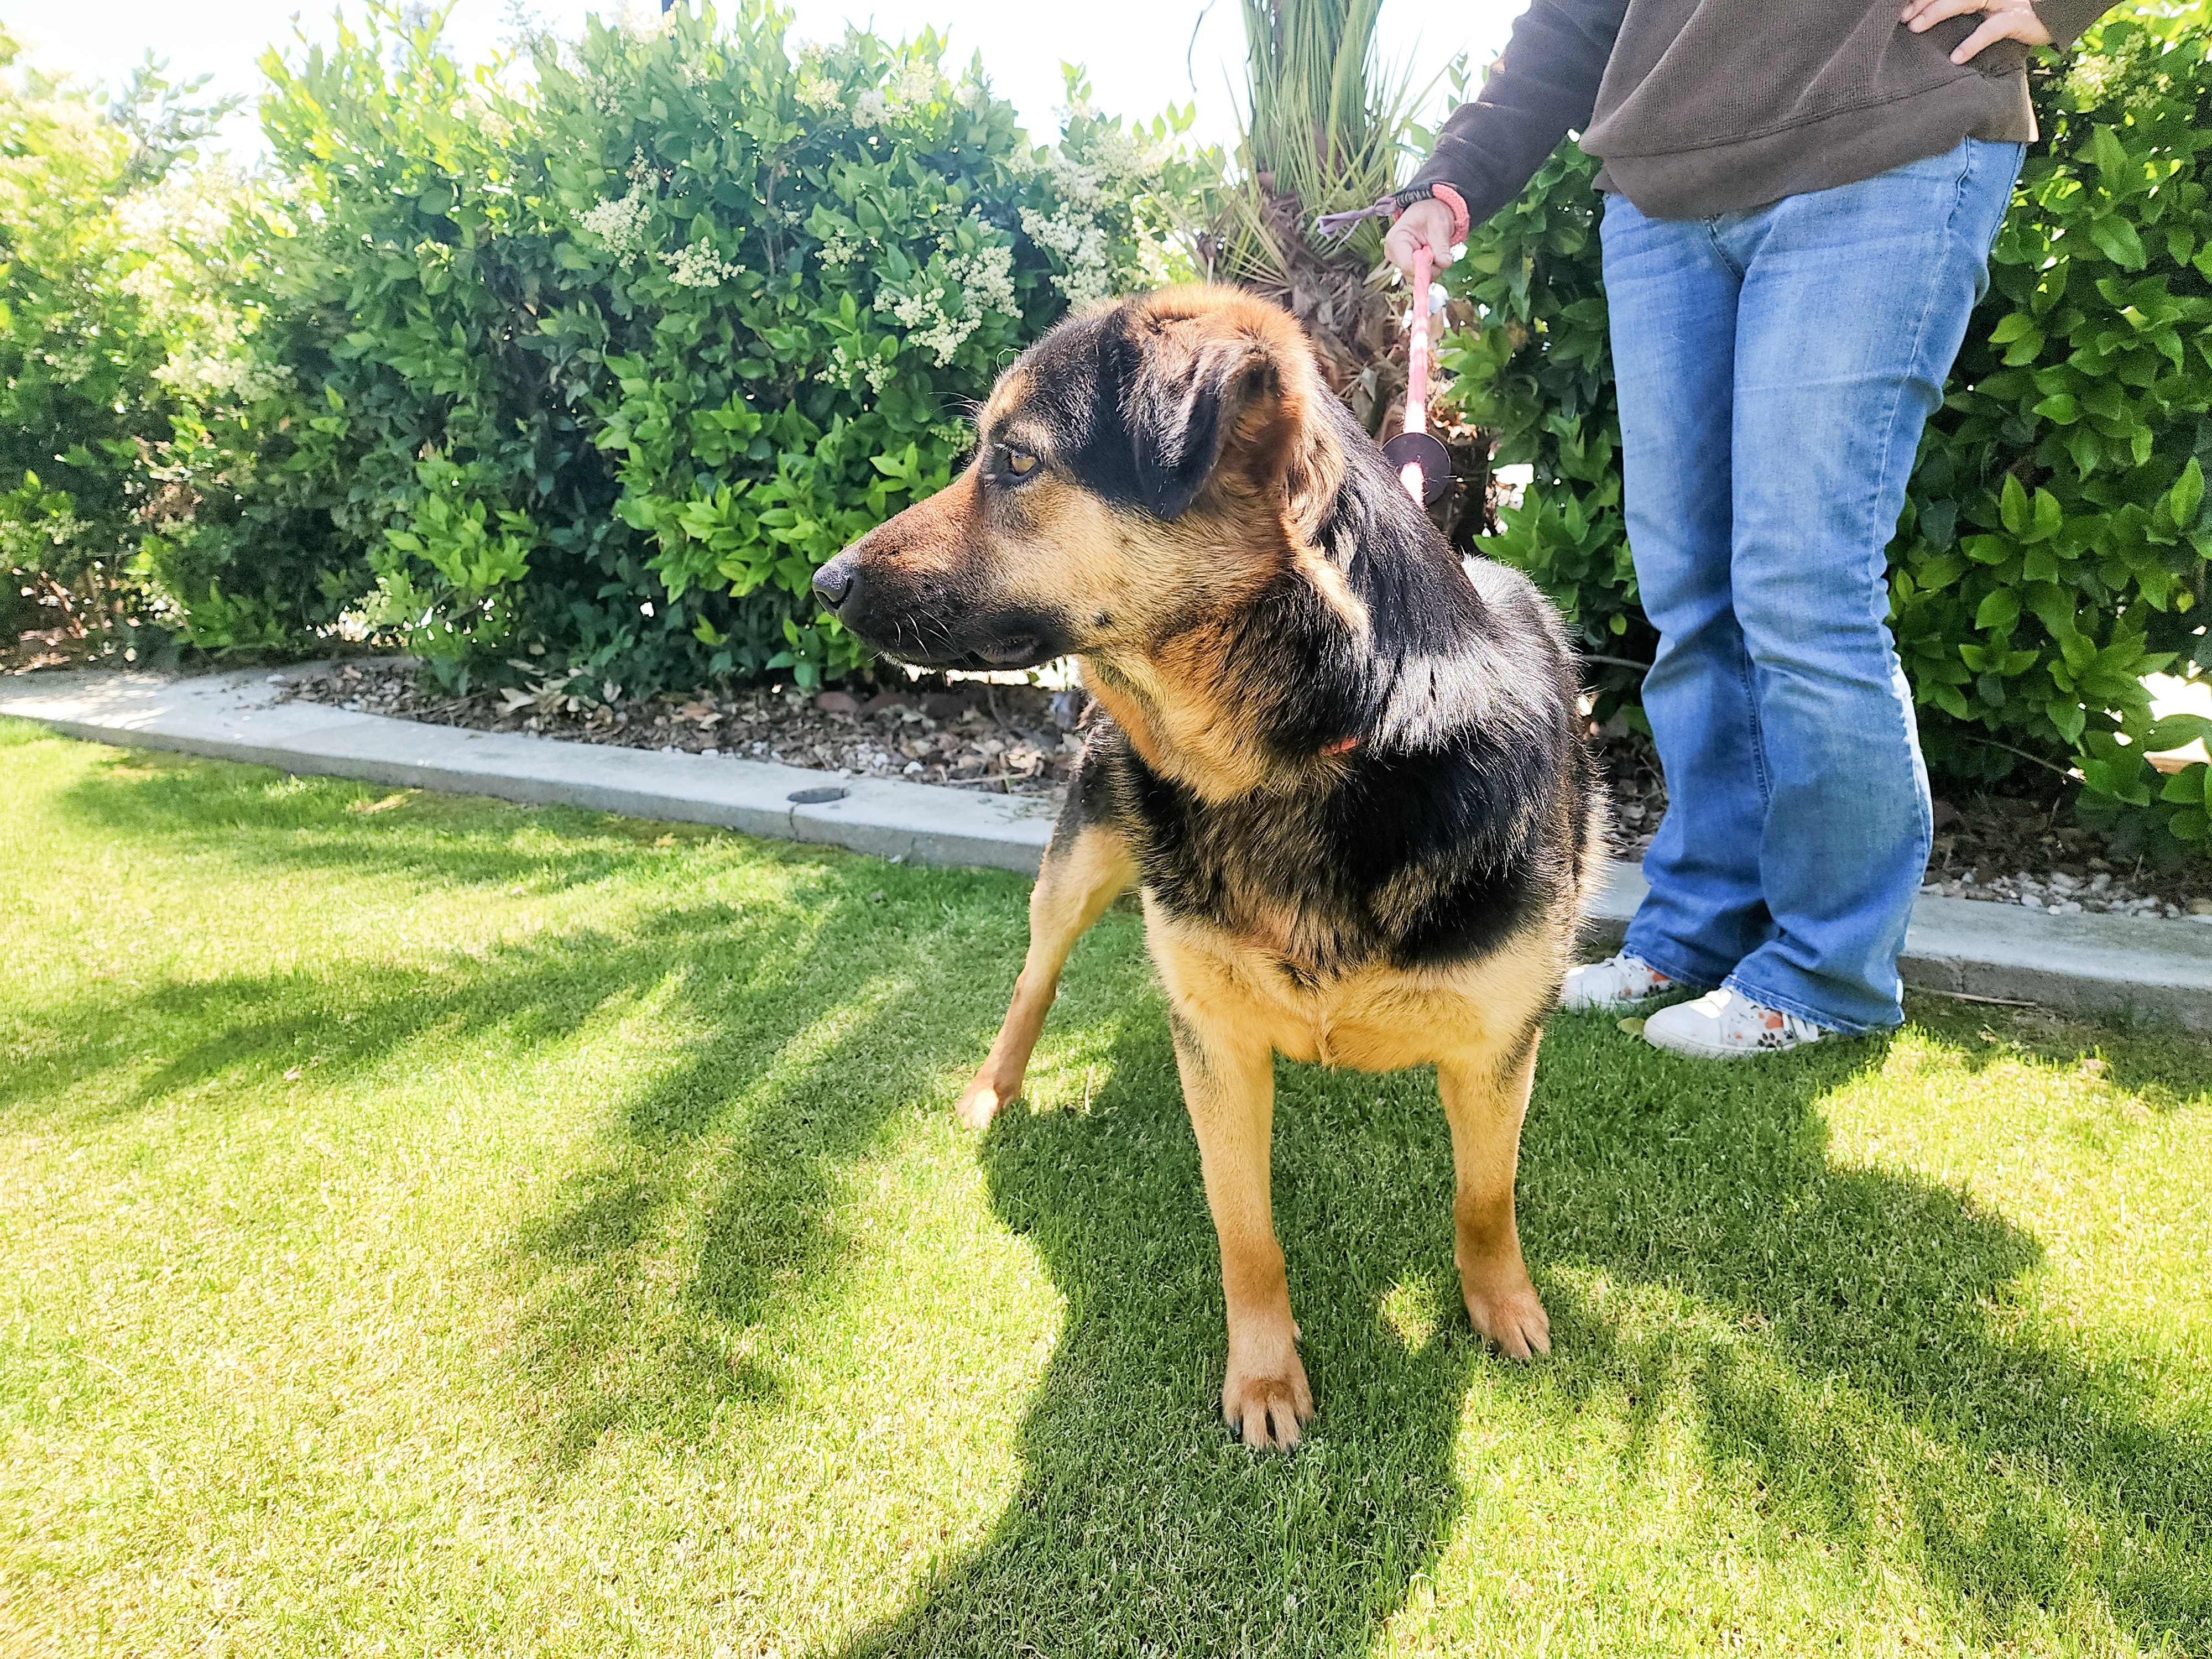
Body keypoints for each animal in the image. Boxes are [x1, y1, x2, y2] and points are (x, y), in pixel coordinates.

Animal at [805, 290, 1601, 1451]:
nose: (824, 583)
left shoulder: (1499, 1046)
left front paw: (1504, 1307)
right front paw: (1266, 1378)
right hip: (1084, 863)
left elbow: (1484, 1199)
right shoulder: (1219, 1052)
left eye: (1014, 460)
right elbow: (1246, 1231)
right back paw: (994, 1092)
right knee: (1035, 975)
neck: (1317, 744)